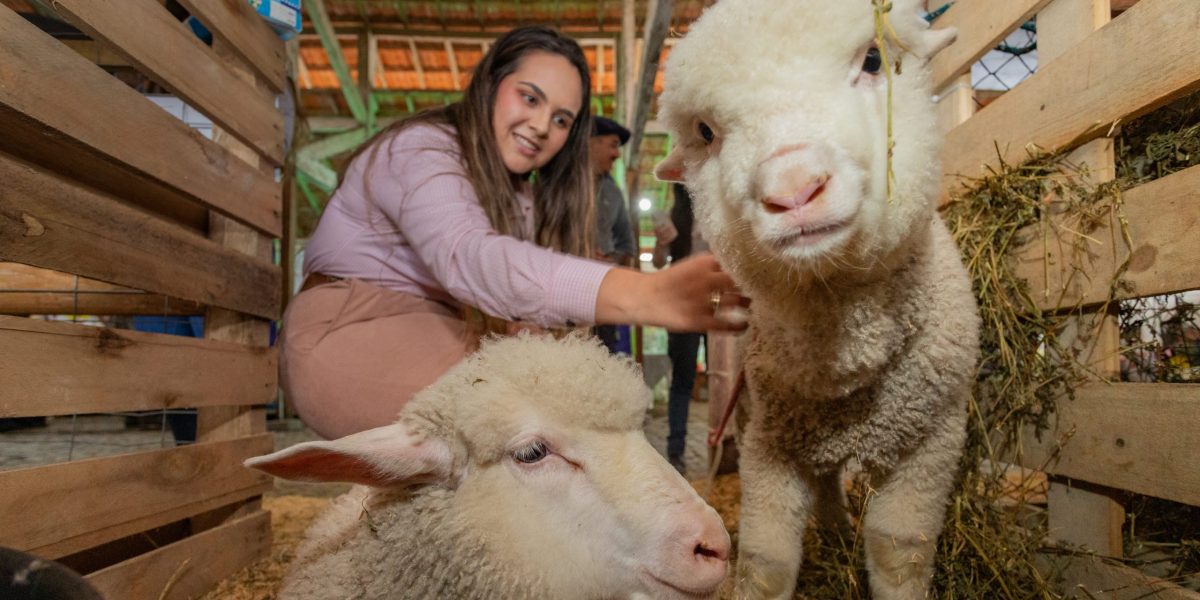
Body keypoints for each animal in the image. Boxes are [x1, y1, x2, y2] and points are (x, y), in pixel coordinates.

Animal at [652, 1, 979, 600]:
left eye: (873, 59)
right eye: (706, 131)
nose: (793, 189)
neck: (846, 355)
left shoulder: (931, 444)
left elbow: (899, 553)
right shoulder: (770, 447)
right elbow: (766, 564)